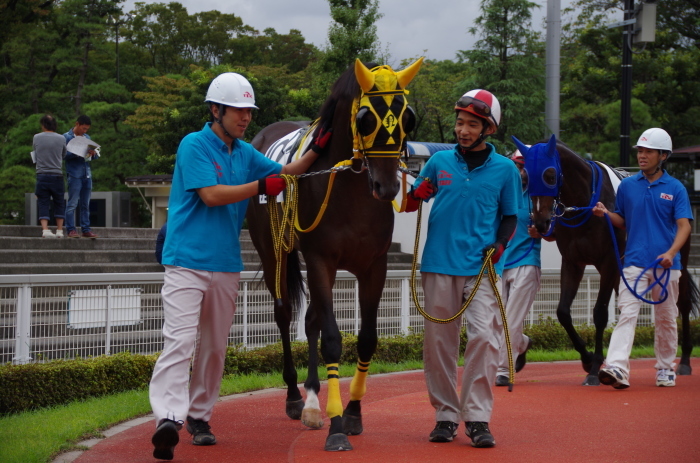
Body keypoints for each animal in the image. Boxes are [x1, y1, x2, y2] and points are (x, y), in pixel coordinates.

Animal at [246, 58, 422, 450]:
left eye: (408, 117)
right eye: (365, 118)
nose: (387, 186)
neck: (351, 190)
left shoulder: (374, 265)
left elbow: (367, 340)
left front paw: (353, 414)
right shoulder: (320, 260)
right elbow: (331, 339)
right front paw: (337, 426)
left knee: (310, 318)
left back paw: (313, 400)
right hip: (273, 250)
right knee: (285, 313)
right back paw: (295, 398)